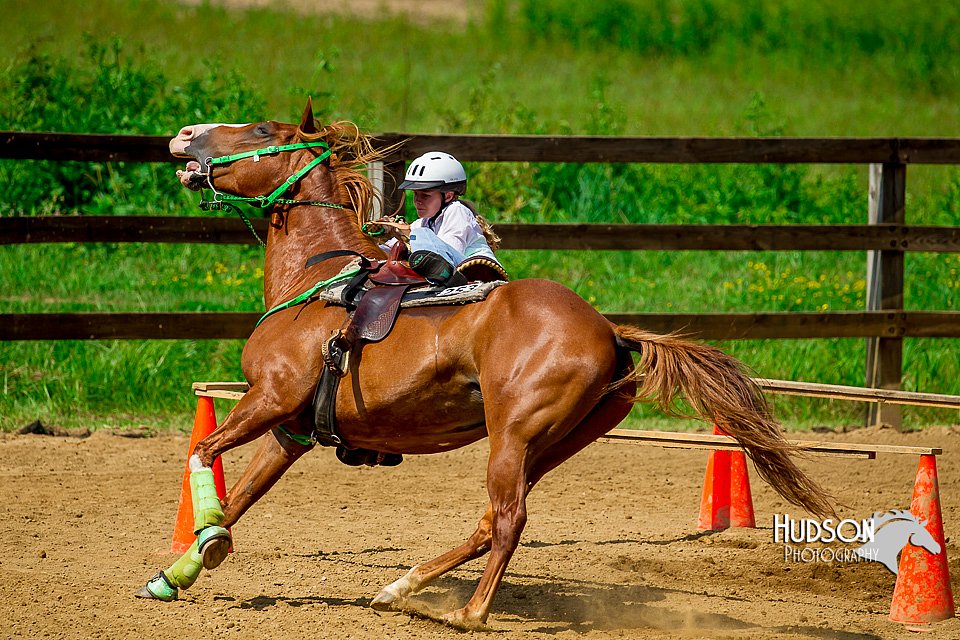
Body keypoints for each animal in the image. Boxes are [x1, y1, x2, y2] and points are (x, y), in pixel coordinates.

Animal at [135, 99, 832, 624]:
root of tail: (609, 330)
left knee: (508, 518)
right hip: (554, 442)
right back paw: (401, 588)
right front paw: (176, 573)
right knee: (489, 520)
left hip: (514, 432)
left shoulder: (269, 399)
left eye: (261, 132)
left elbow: (202, 454)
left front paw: (206, 540)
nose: (186, 136)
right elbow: (241, 494)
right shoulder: (290, 428)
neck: (316, 282)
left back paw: (467, 613)